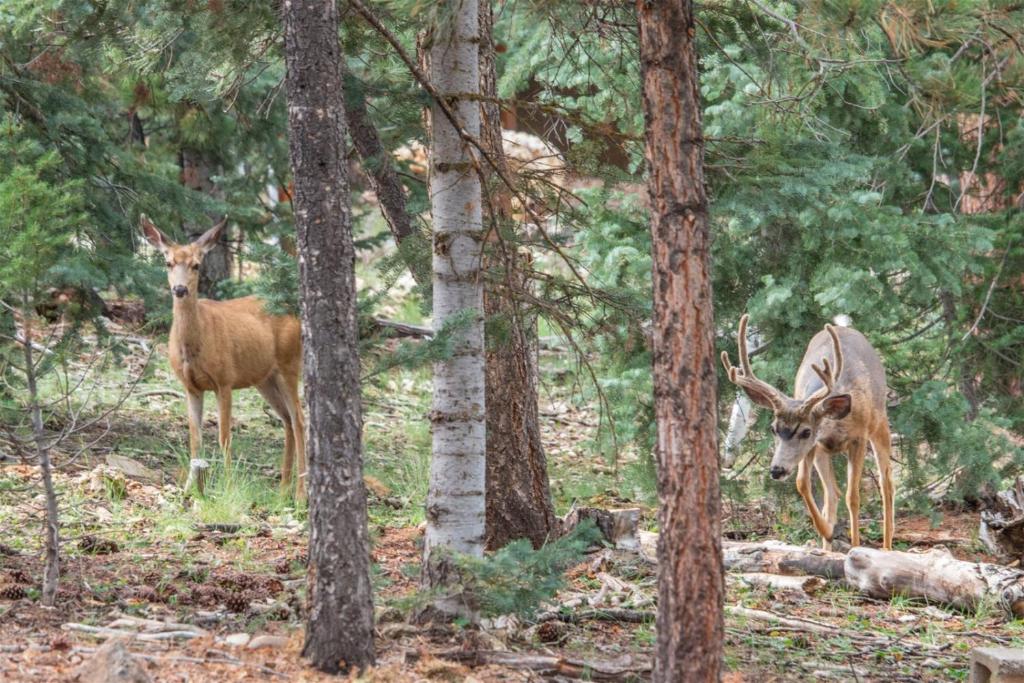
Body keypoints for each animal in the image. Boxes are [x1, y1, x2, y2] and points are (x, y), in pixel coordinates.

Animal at [142, 216, 305, 499]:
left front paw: (229, 487)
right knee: (287, 419)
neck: (194, 347)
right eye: (168, 262)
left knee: (300, 421)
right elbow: (195, 439)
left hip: (289, 364)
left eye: (196, 265)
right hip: (265, 379)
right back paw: (283, 489)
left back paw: (300, 494)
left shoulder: (225, 380)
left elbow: (224, 437)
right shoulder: (191, 387)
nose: (180, 289)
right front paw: (189, 489)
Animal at [720, 315, 897, 548]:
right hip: (823, 452)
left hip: (880, 424)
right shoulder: (815, 445)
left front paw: (856, 546)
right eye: (773, 429)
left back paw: (886, 546)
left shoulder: (858, 438)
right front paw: (828, 531)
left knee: (887, 485)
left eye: (805, 431)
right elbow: (802, 483)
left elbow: (853, 497)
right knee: (832, 493)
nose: (776, 470)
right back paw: (828, 541)